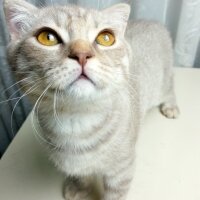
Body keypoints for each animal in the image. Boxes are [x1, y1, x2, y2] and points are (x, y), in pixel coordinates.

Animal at [3, 0, 179, 200]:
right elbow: (81, 174)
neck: (76, 120)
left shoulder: (122, 169)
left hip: (163, 81)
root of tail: (154, 22)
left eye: (106, 38)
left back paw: (171, 107)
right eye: (47, 37)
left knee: (170, 88)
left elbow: (115, 194)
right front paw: (79, 187)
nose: (82, 54)